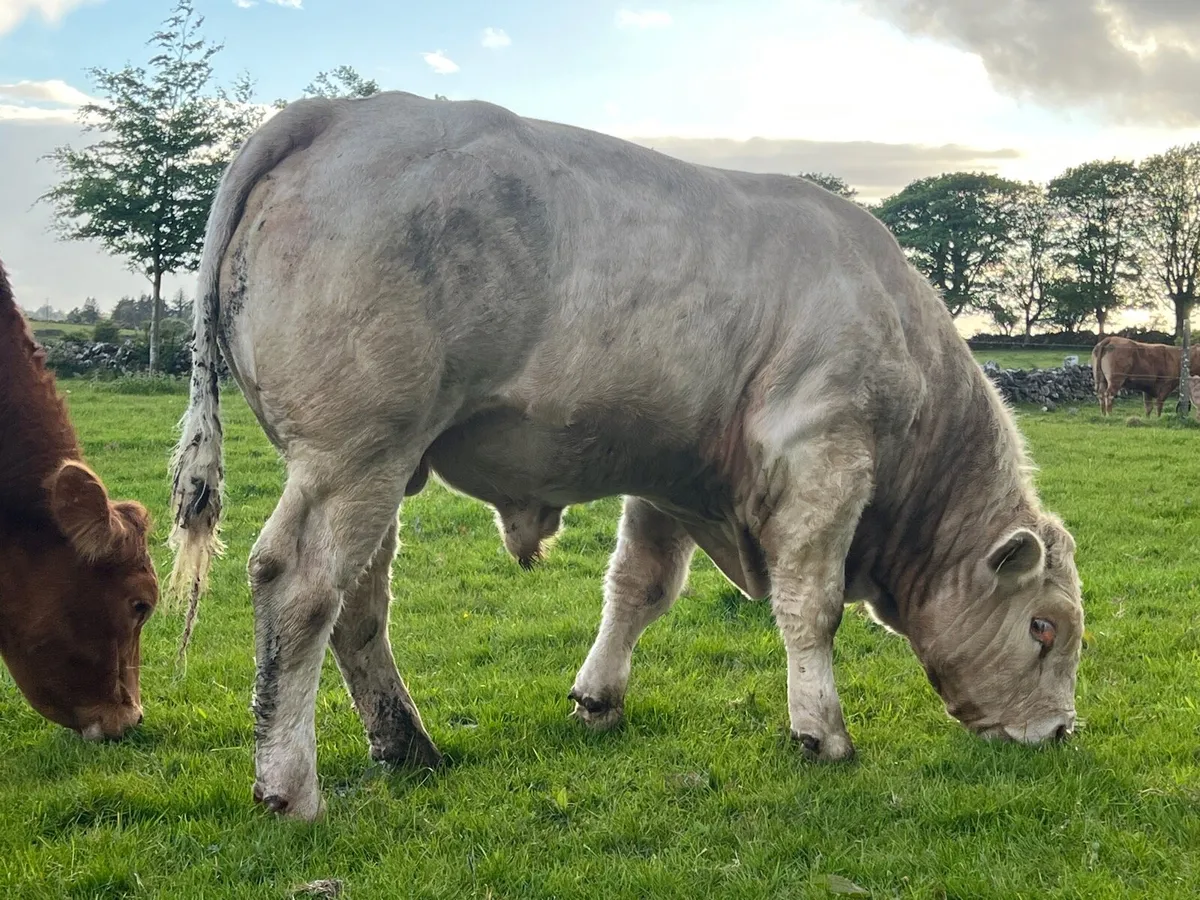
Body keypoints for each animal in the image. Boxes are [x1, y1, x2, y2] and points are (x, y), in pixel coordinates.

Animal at [167, 92, 1085, 821]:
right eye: (1044, 627)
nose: (1060, 733)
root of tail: (335, 111)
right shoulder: (825, 460)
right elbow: (811, 607)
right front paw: (821, 730)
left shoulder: (672, 472)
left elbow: (639, 587)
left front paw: (598, 696)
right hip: (355, 453)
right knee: (300, 586)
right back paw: (291, 786)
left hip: (384, 465)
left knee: (359, 603)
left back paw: (407, 744)